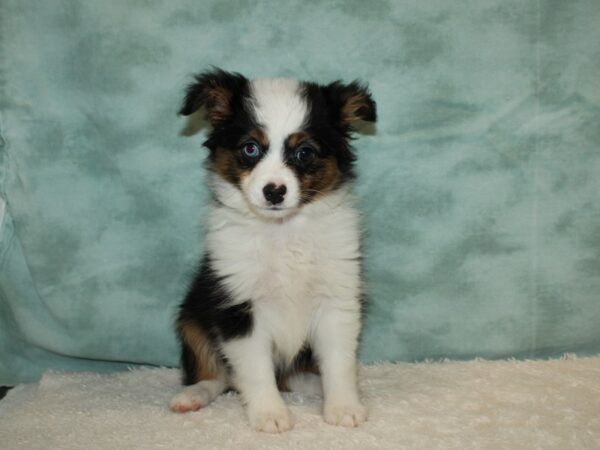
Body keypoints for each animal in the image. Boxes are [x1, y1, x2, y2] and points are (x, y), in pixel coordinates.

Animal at [169, 67, 376, 432]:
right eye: (250, 148)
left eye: (304, 153)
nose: (274, 191)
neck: (283, 231)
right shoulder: (238, 304)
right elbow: (255, 368)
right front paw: (269, 414)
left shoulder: (337, 299)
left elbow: (339, 361)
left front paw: (343, 407)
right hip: (191, 316)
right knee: (219, 376)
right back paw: (192, 396)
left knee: (294, 376)